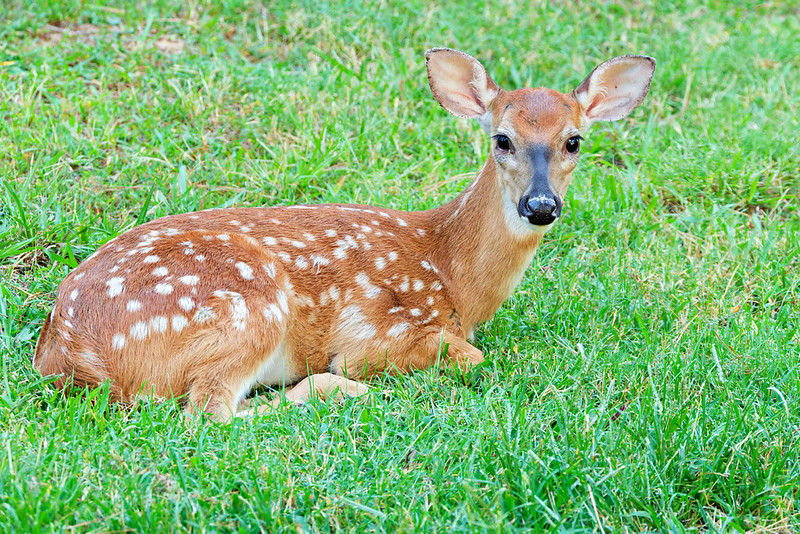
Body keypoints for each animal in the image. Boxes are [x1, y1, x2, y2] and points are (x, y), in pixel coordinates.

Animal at [34, 48, 655, 422]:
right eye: (501, 139)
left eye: (574, 140)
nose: (541, 204)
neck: (452, 273)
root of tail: (68, 348)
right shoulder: (383, 327)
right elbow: (467, 357)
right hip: (247, 307)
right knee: (208, 412)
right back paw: (338, 391)